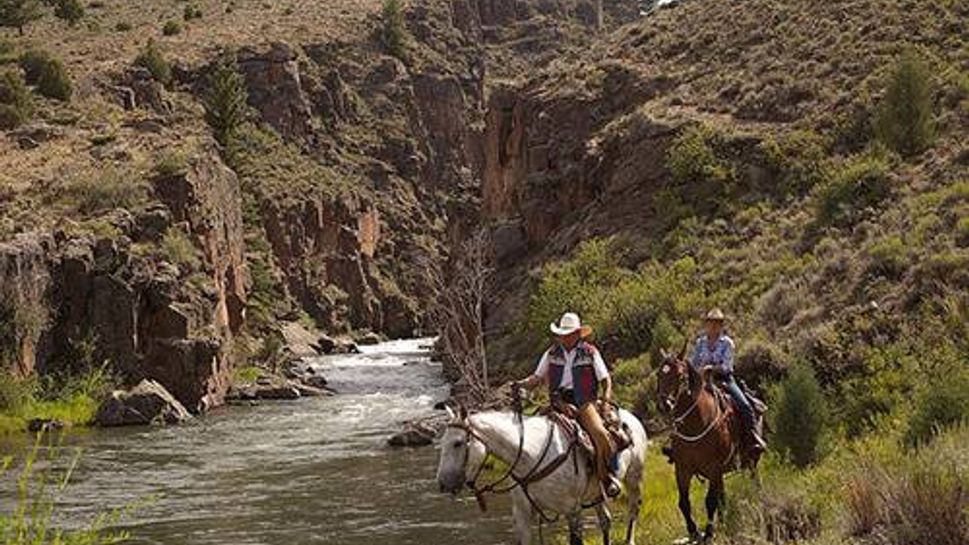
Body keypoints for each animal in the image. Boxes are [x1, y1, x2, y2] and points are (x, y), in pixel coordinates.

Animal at [434, 406, 648, 540]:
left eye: (457, 443)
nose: (443, 484)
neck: (531, 455)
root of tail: (631, 417)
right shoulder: (522, 514)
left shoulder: (573, 511)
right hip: (597, 493)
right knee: (605, 521)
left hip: (633, 479)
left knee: (632, 511)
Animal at [656, 346, 748, 540]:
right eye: (659, 374)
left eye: (680, 376)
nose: (664, 404)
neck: (696, 425)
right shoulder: (682, 469)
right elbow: (684, 502)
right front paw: (693, 531)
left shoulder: (713, 468)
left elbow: (710, 500)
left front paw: (709, 532)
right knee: (722, 495)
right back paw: (723, 520)